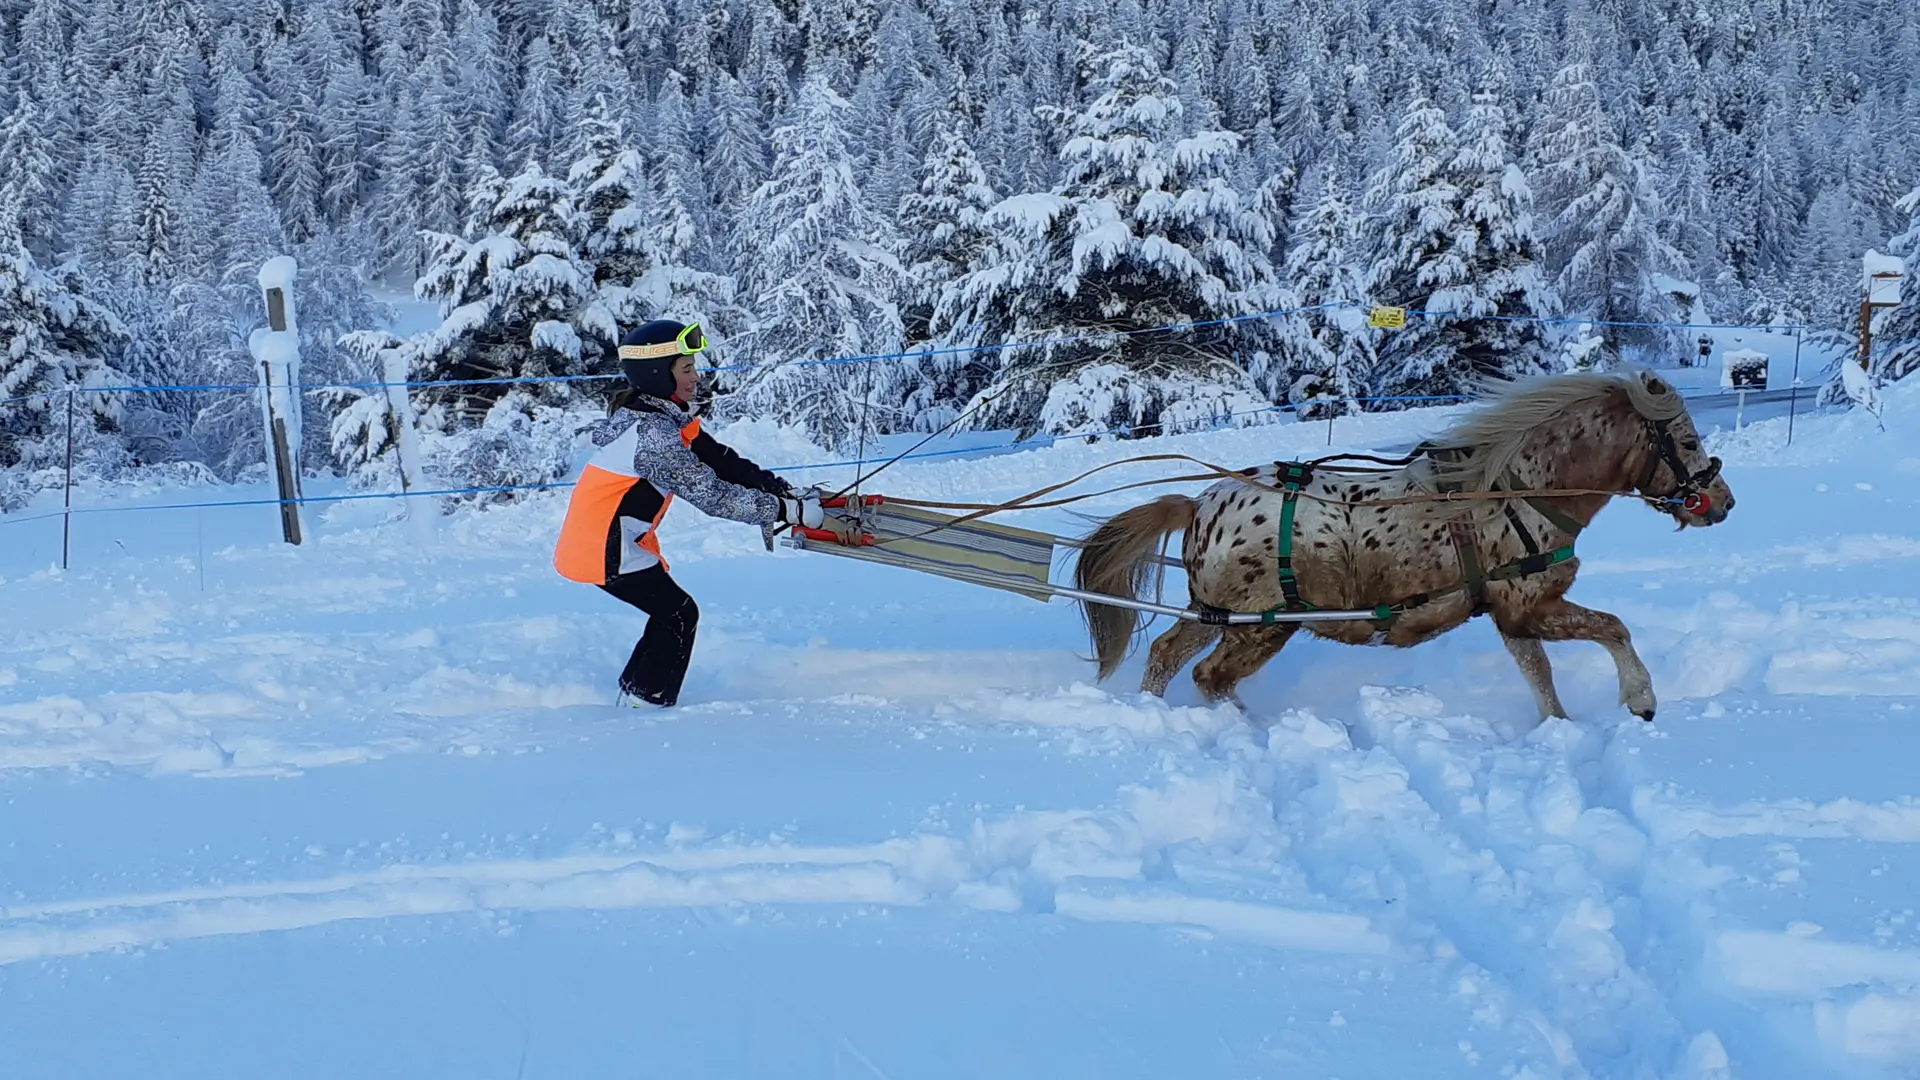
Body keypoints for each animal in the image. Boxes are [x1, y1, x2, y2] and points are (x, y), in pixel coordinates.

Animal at [1082, 365, 1743, 718]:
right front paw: (1641, 698)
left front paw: (1559, 727)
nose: (1724, 502)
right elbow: (1613, 627)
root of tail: (1201, 503)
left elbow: (1541, 676)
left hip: (1217, 611)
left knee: (1171, 656)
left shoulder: (1509, 613)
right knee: (1208, 675)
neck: (1520, 488)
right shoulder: (1531, 605)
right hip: (1263, 623)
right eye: (1687, 440)